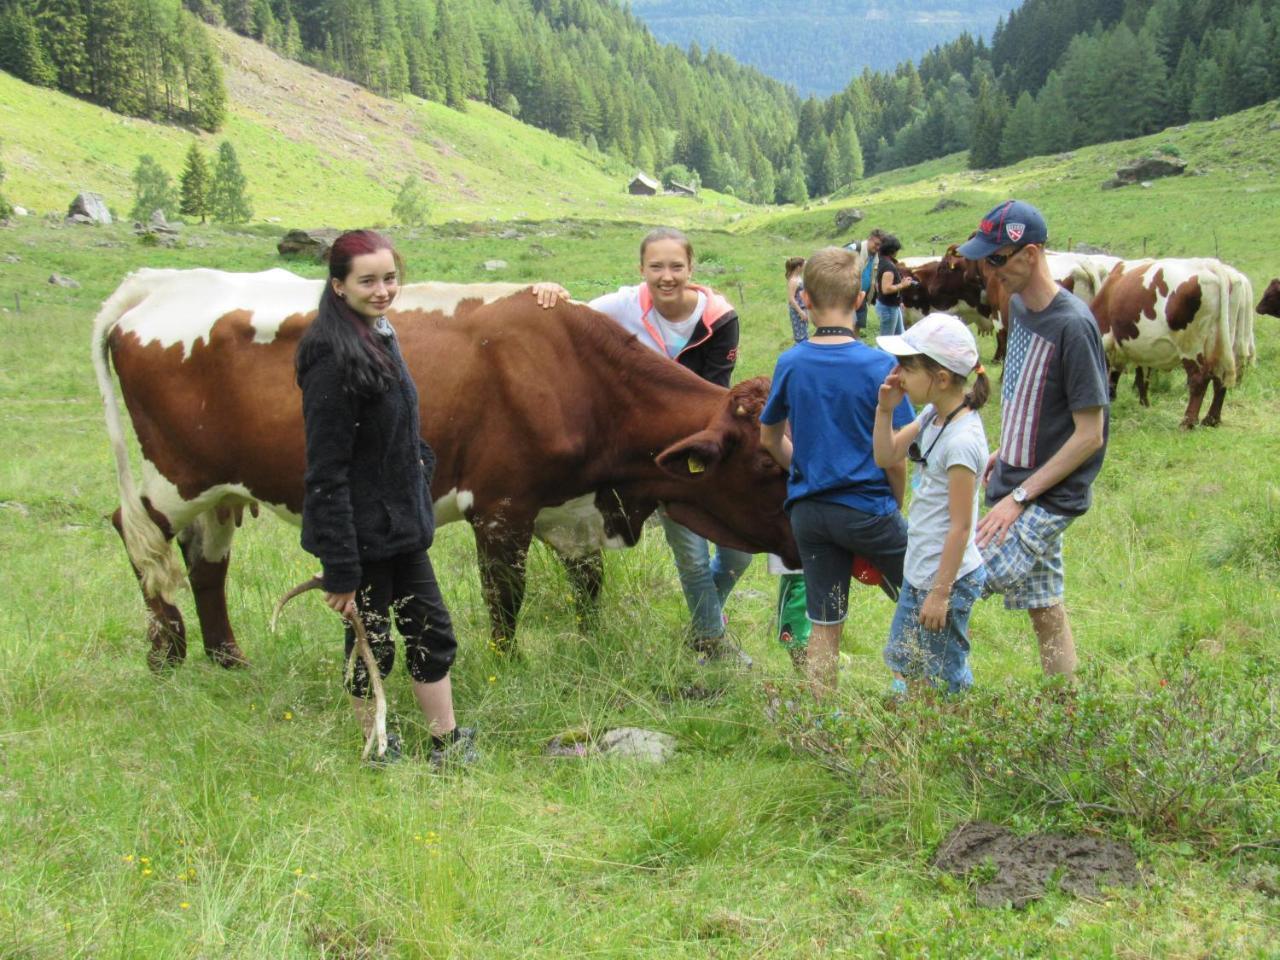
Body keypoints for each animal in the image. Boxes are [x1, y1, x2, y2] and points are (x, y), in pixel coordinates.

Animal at [94, 267, 793, 670]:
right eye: (765, 461)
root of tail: (161, 282)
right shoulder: (503, 507)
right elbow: (504, 598)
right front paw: (509, 668)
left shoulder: (570, 510)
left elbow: (588, 587)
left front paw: (590, 647)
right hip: (176, 475)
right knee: (138, 535)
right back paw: (167, 651)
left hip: (219, 487)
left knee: (206, 561)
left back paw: (227, 656)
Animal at [1085, 261, 1254, 430]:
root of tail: (1210, 264)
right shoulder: (1144, 351)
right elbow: (1142, 376)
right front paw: (1144, 405)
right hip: (1223, 343)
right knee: (1220, 378)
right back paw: (1211, 420)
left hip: (1190, 344)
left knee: (1199, 379)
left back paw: (1188, 422)